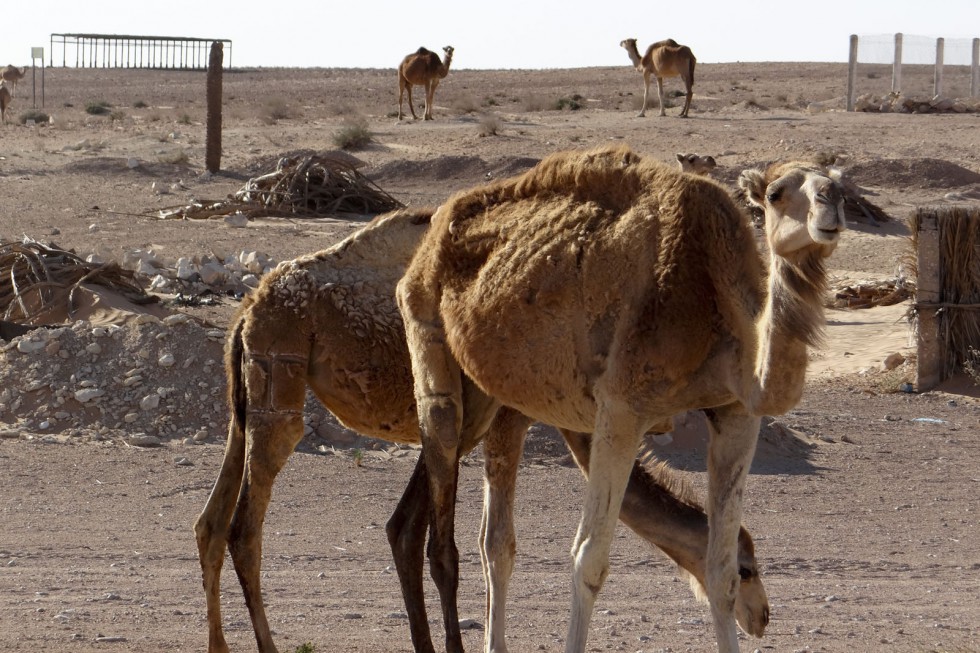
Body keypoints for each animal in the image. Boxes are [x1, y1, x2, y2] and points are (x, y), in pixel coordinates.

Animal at [193, 204, 772, 652]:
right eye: (747, 569)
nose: (764, 617)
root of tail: (245, 310)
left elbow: (418, 532)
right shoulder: (507, 419)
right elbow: (494, 543)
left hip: (245, 397)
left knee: (211, 522)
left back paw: (219, 643)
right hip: (280, 376)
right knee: (246, 524)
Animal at [396, 144, 844, 652]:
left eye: (839, 184)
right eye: (775, 193)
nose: (831, 205)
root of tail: (433, 230)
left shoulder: (735, 414)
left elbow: (718, 570)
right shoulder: (620, 410)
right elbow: (585, 560)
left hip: (491, 396)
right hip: (427, 333)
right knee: (446, 520)